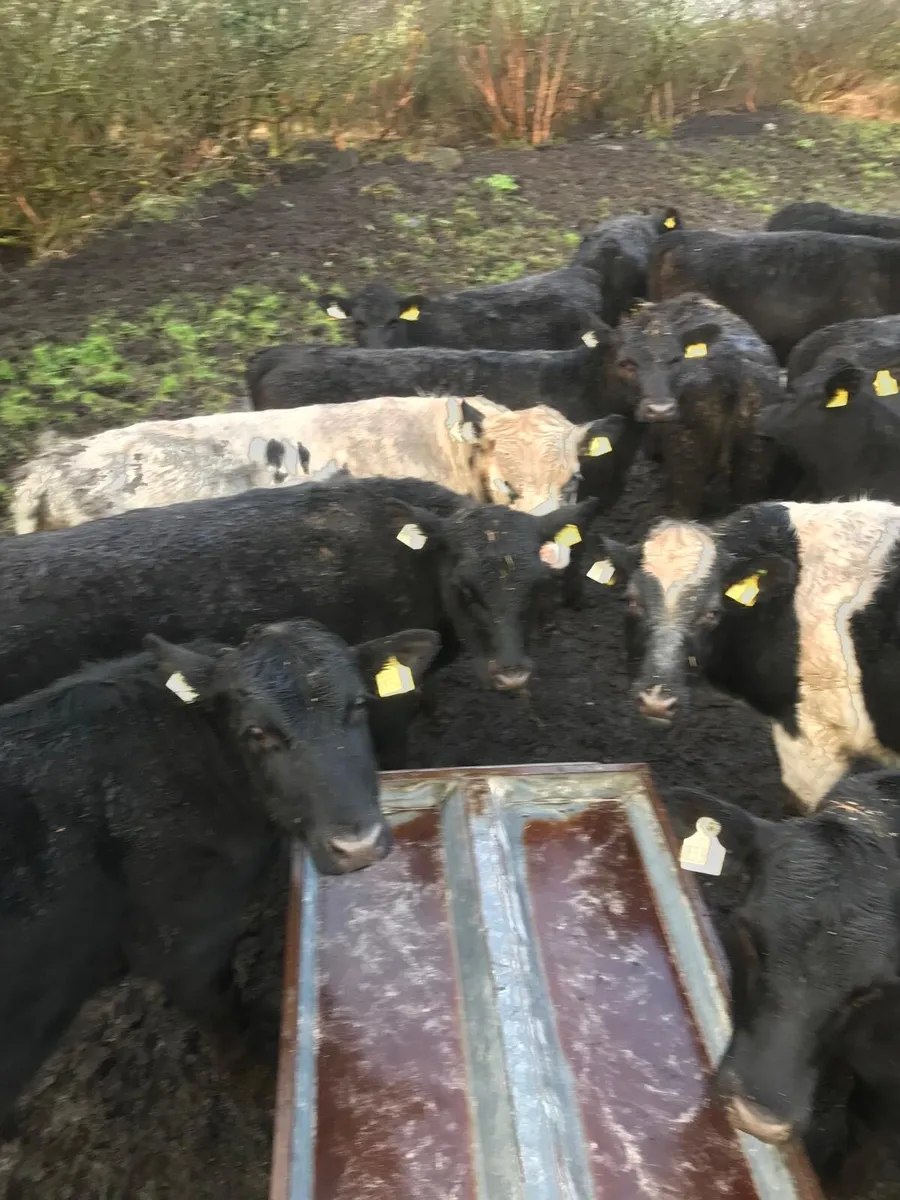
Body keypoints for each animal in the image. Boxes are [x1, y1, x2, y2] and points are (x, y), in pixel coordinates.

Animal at [0, 617, 441, 1124]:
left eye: (358, 705)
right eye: (255, 732)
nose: (358, 845)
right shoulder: (182, 943)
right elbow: (222, 1012)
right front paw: (257, 1077)